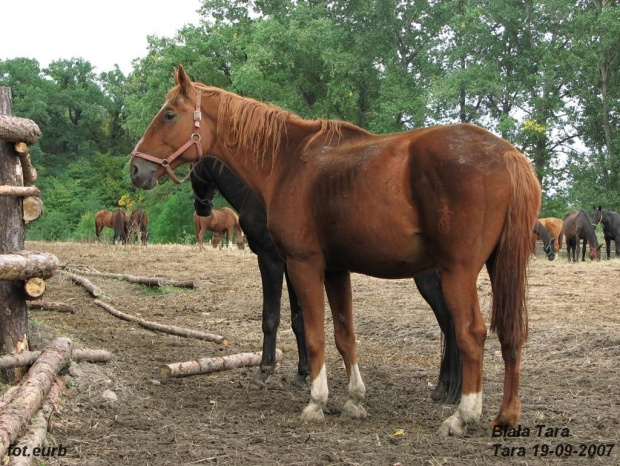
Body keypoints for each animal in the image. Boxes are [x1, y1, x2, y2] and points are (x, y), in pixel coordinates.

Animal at [191, 158, 462, 402]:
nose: (202, 209)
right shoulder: (293, 267)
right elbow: (299, 320)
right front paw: (303, 373)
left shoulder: (271, 261)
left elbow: (271, 317)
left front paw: (264, 371)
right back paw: (447, 389)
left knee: (448, 321)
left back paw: (447, 388)